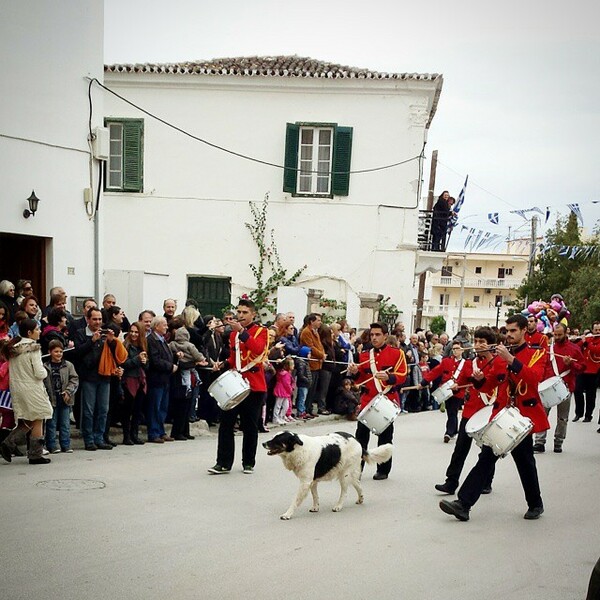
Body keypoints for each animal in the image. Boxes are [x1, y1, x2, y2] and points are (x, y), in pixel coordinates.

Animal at [262, 432, 394, 520]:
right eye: (273, 437)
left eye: (277, 439)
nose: (263, 443)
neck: (299, 449)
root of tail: (358, 442)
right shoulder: (312, 481)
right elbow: (315, 496)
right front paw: (315, 508)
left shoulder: (305, 482)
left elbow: (295, 500)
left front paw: (287, 514)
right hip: (349, 474)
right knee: (358, 485)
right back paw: (360, 499)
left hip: (345, 475)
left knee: (344, 492)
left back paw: (338, 506)